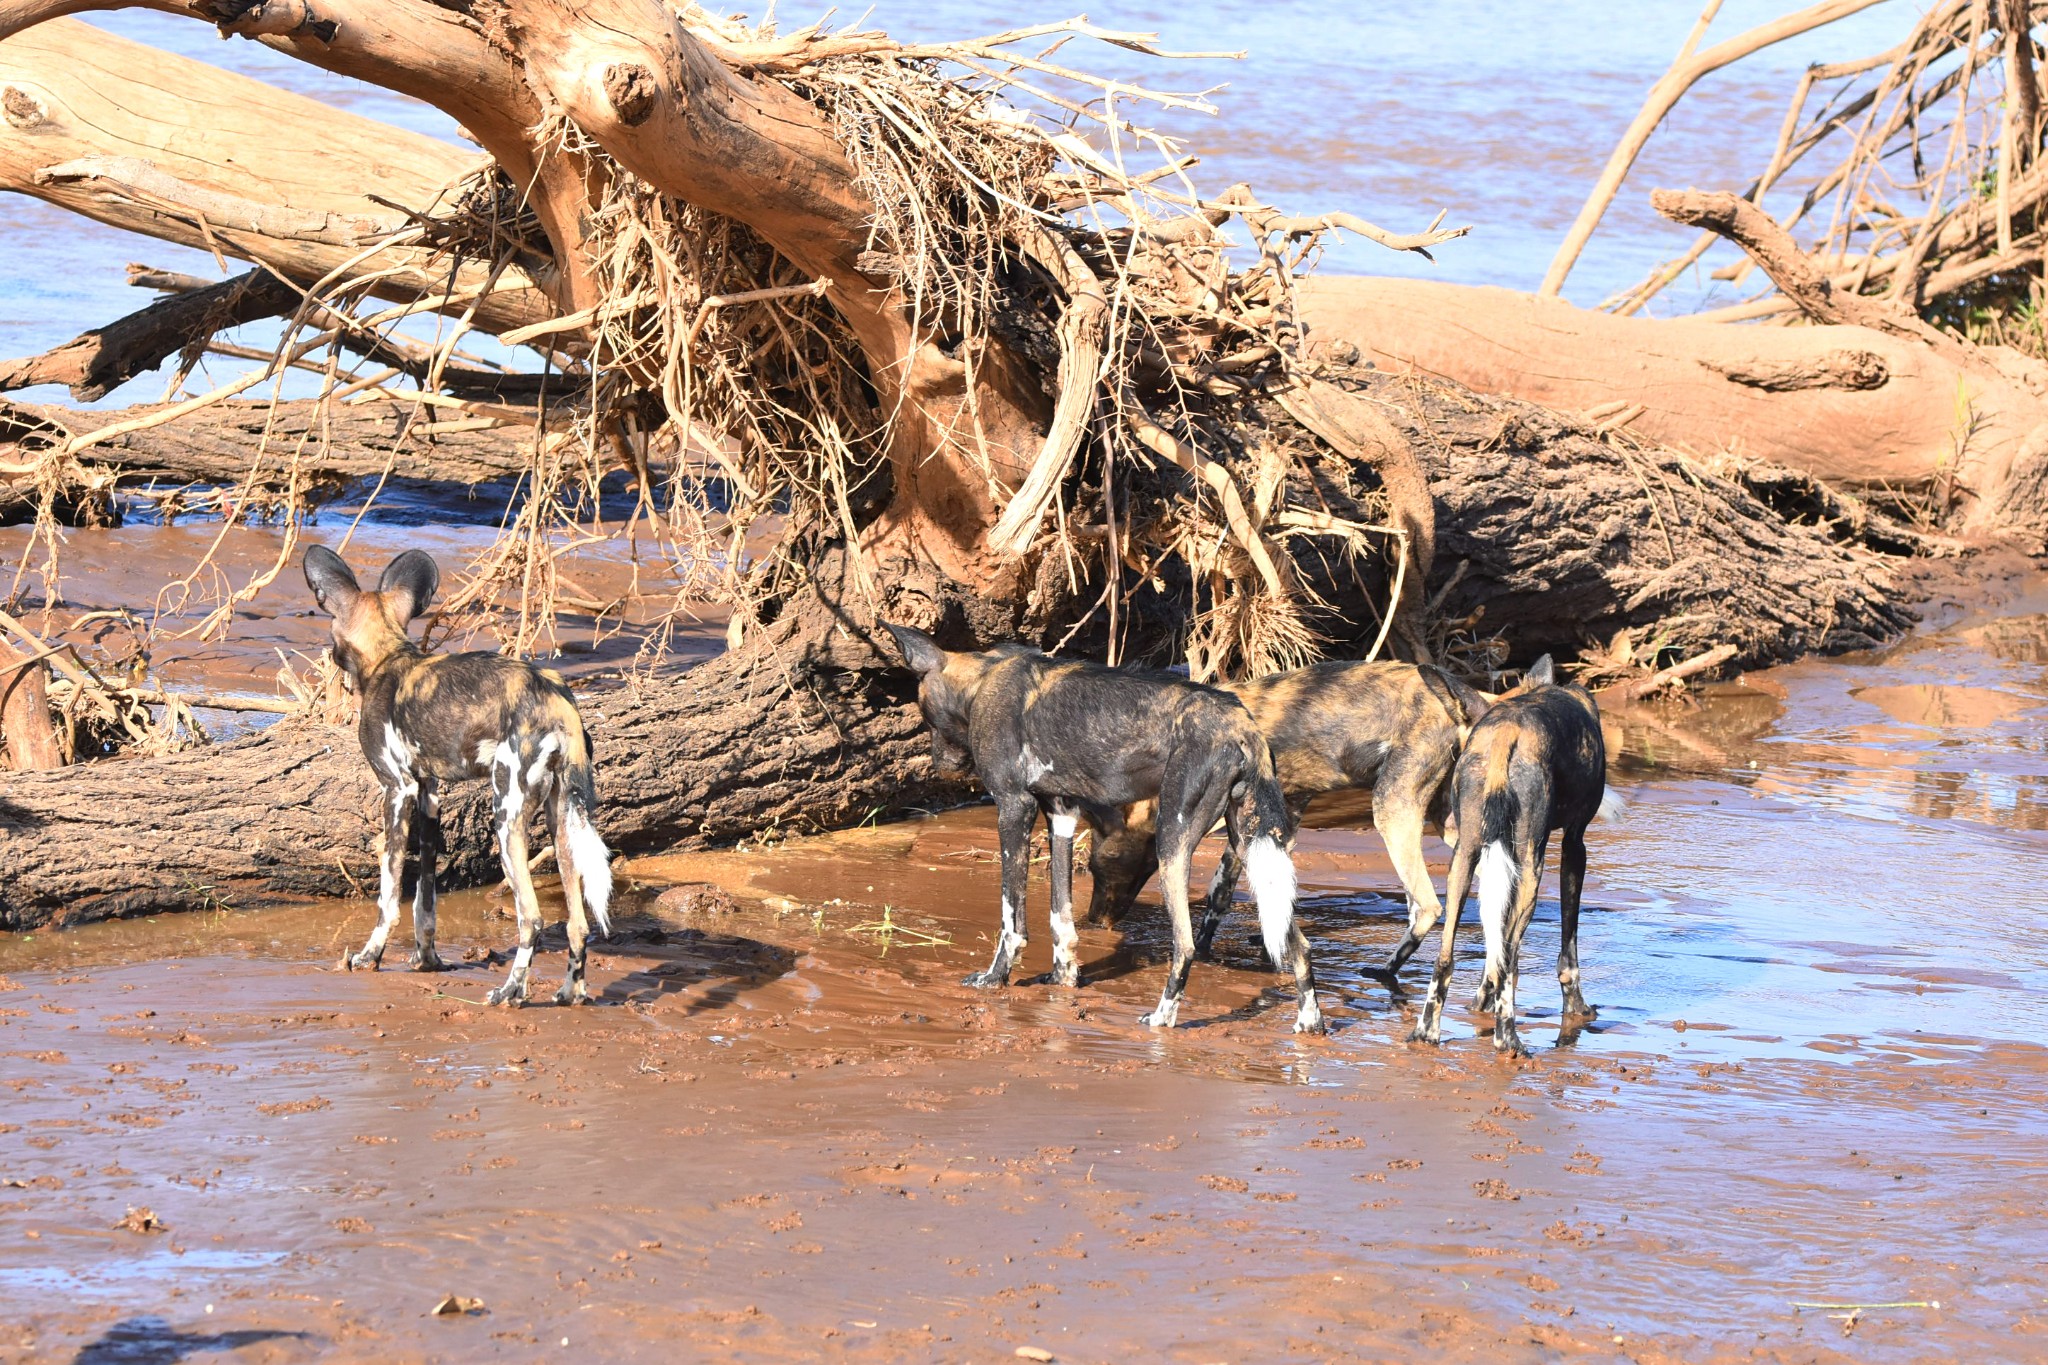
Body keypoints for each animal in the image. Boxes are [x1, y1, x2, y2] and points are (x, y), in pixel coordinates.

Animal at [299, 540, 610, 1002]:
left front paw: (369, 956)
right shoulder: (428, 795)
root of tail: (558, 701)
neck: (389, 656)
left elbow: (389, 896)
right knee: (578, 922)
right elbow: (424, 900)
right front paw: (426, 960)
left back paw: (509, 993)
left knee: (532, 917)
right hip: (562, 820)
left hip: (506, 816)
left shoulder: (397, 790)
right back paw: (570, 993)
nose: (331, 654)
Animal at [1089, 654, 1490, 978]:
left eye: (1096, 868)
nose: (1093, 919)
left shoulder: (1246, 830)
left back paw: (1387, 970)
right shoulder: (1285, 818)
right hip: (1451, 827)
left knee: (1429, 905)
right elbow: (1251, 893)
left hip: (1392, 809)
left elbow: (1218, 898)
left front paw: (1203, 952)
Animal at [1409, 654, 1613, 1064]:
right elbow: (1566, 951)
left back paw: (1428, 1032)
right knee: (1509, 960)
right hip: (1532, 867)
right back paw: (1508, 1040)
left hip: (1464, 858)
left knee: (1448, 955)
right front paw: (1578, 1009)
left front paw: (1480, 1002)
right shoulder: (1575, 844)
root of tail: (1506, 728)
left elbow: (1491, 947)